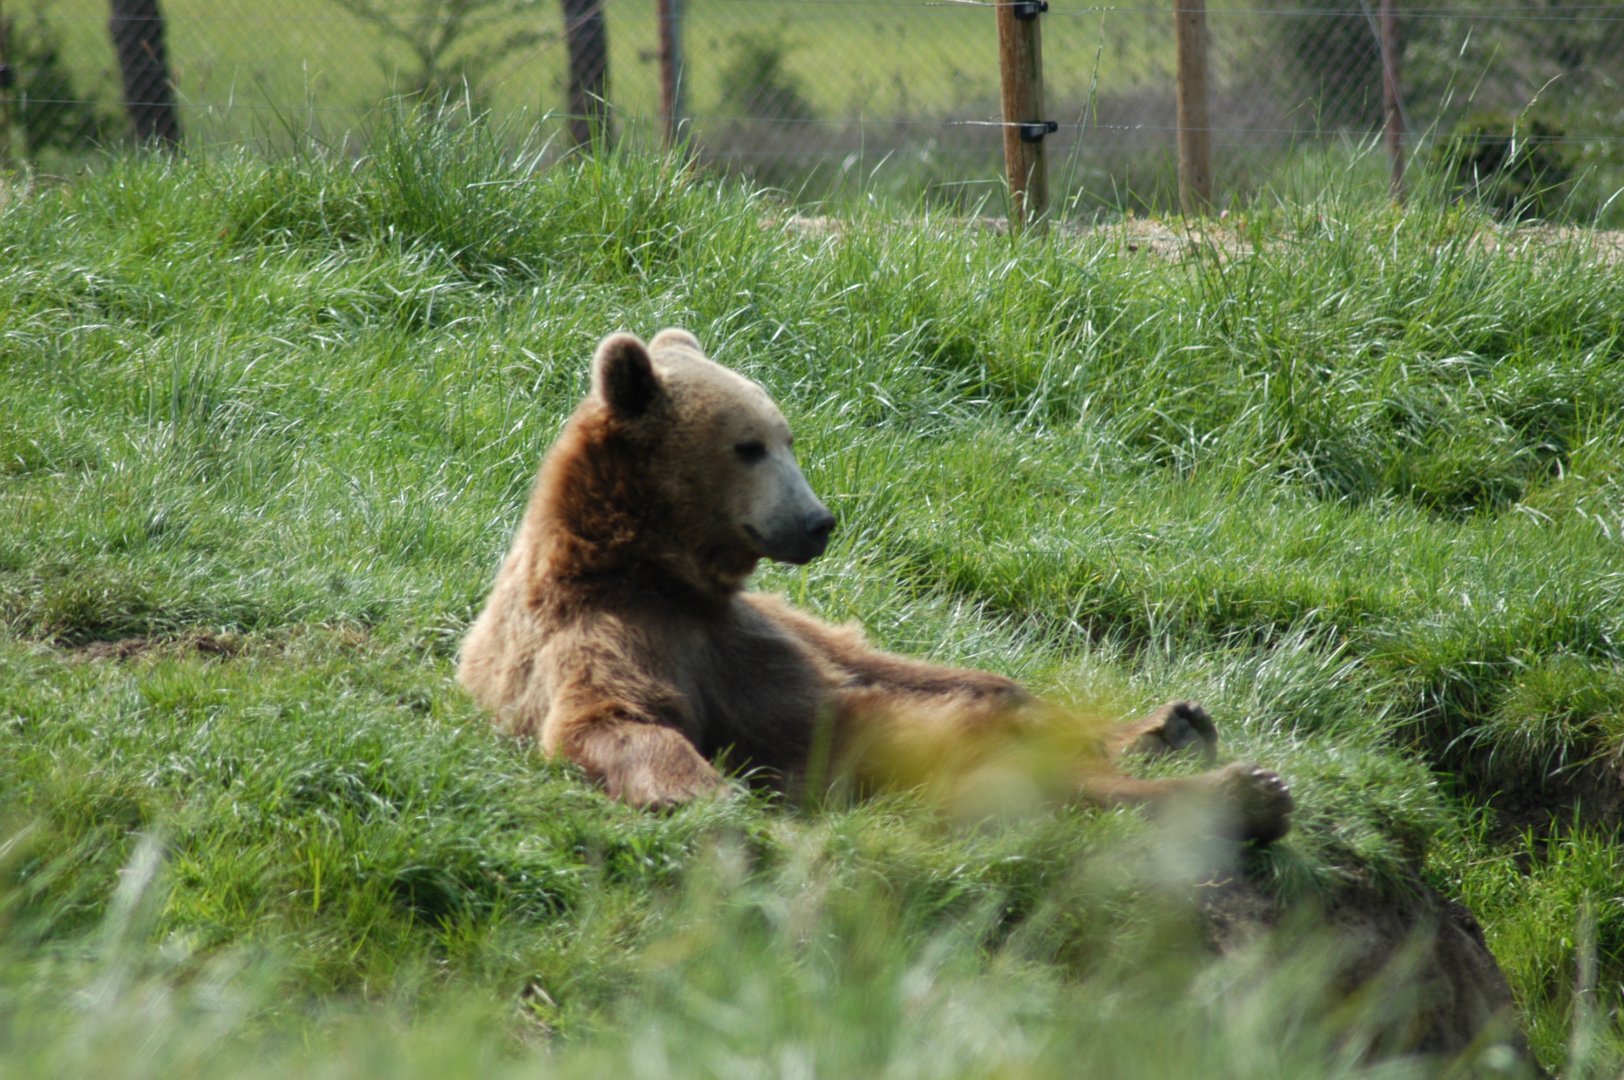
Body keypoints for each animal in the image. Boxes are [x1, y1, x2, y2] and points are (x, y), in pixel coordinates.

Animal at [457, 329, 1294, 843]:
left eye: (789, 436)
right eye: (749, 446)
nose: (818, 520)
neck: (655, 565)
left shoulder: (756, 620)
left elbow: (880, 658)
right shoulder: (615, 627)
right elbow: (617, 717)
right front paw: (716, 798)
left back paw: (1173, 725)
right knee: (1032, 782)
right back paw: (1245, 793)